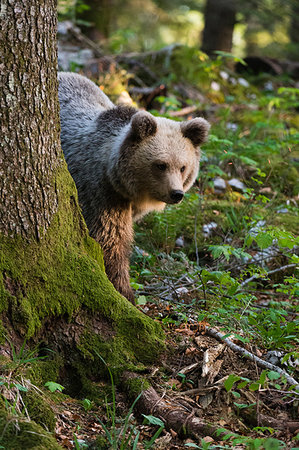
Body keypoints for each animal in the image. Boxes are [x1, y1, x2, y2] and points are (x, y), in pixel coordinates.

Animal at [58, 73, 211, 302]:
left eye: (183, 167)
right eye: (160, 164)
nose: (177, 194)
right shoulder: (99, 192)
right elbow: (109, 240)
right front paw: (124, 290)